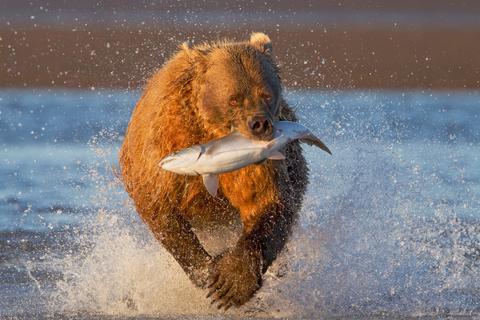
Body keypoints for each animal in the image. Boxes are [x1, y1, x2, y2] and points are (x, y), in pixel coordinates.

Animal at [119, 32, 308, 310]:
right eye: (234, 98)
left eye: (266, 94)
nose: (260, 124)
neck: (208, 129)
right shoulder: (163, 146)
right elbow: (160, 209)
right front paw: (206, 270)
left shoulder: (254, 160)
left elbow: (266, 202)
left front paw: (231, 282)